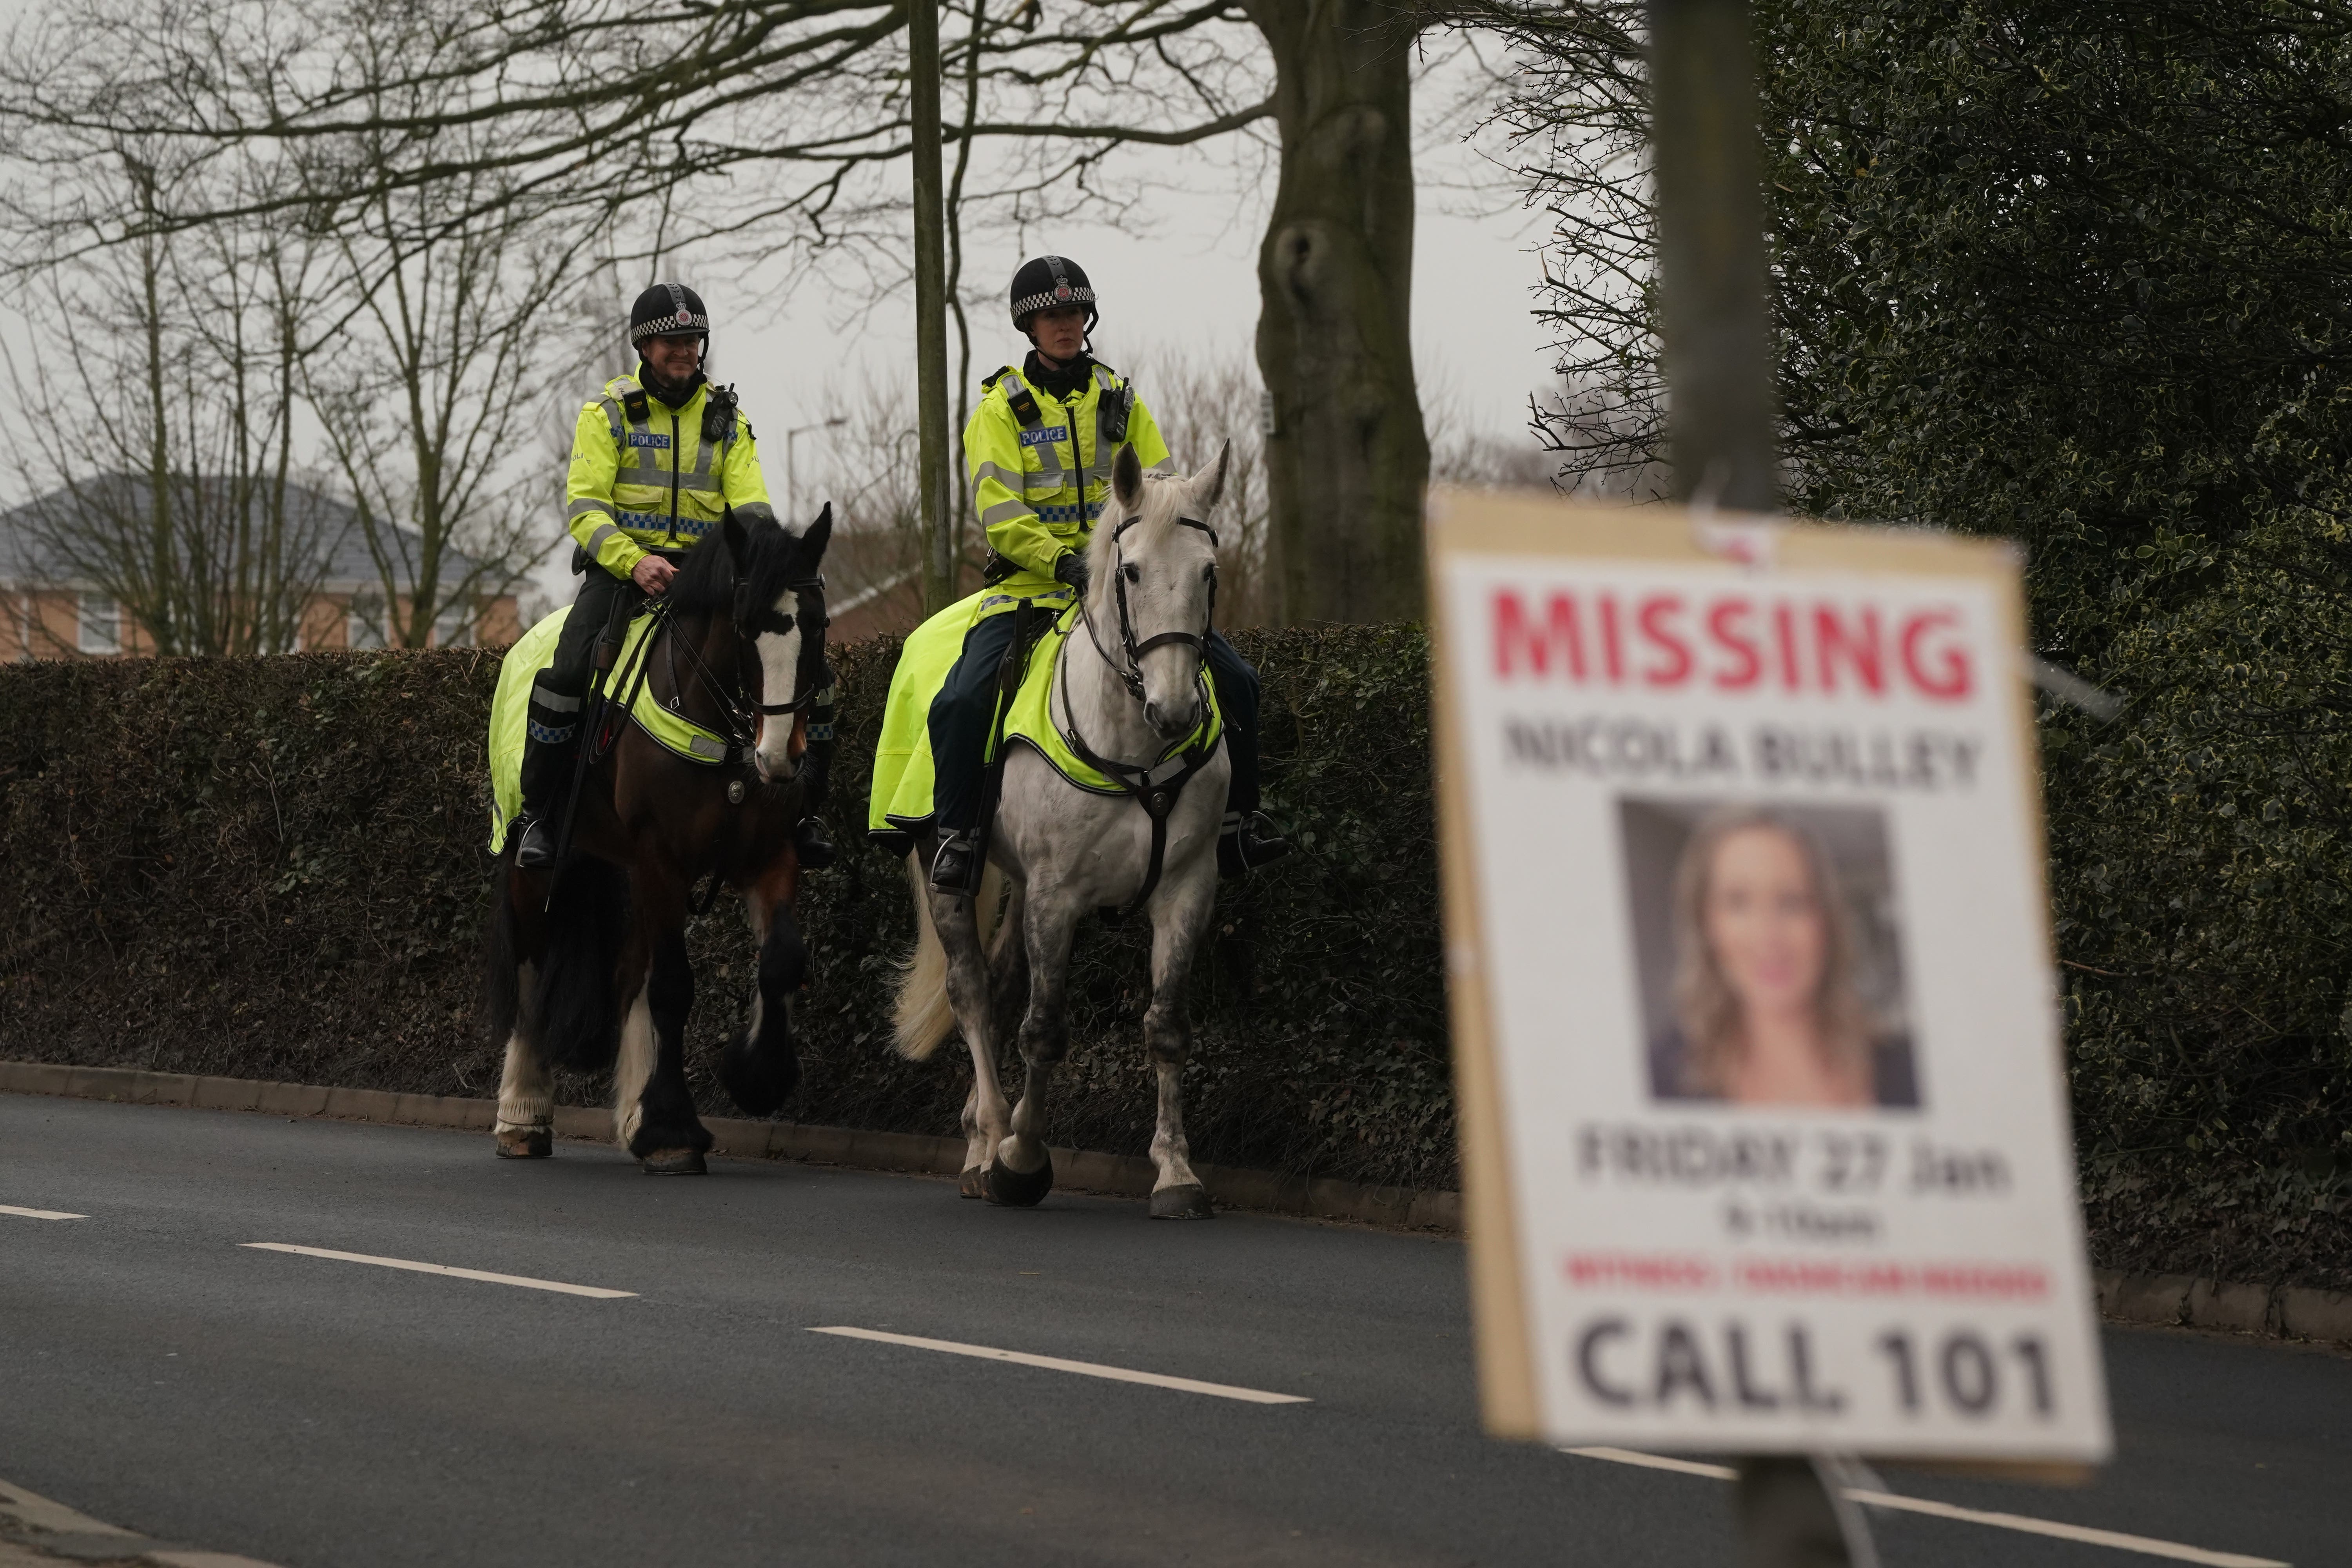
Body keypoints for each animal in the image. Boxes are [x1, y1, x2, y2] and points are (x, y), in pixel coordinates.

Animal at [487, 510, 837, 1171]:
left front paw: (757, 1077)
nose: (780, 758)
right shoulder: (662, 859)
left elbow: (781, 960)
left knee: (630, 976)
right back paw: (522, 1116)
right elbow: (674, 988)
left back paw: (632, 1115)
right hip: (536, 866)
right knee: (529, 973)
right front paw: (674, 1129)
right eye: (744, 625)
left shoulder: (769, 856)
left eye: (818, 624)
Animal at [894, 444, 1232, 1222]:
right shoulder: (1057, 897)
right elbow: (1045, 1029)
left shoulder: (1187, 890)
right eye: (1130, 570)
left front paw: (1176, 1173)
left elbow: (1167, 1026)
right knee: (973, 992)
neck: (1137, 747)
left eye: (1209, 571)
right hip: (945, 868)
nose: (1176, 710)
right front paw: (1022, 1160)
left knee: (1001, 984)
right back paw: (988, 1143)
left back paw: (976, 1138)